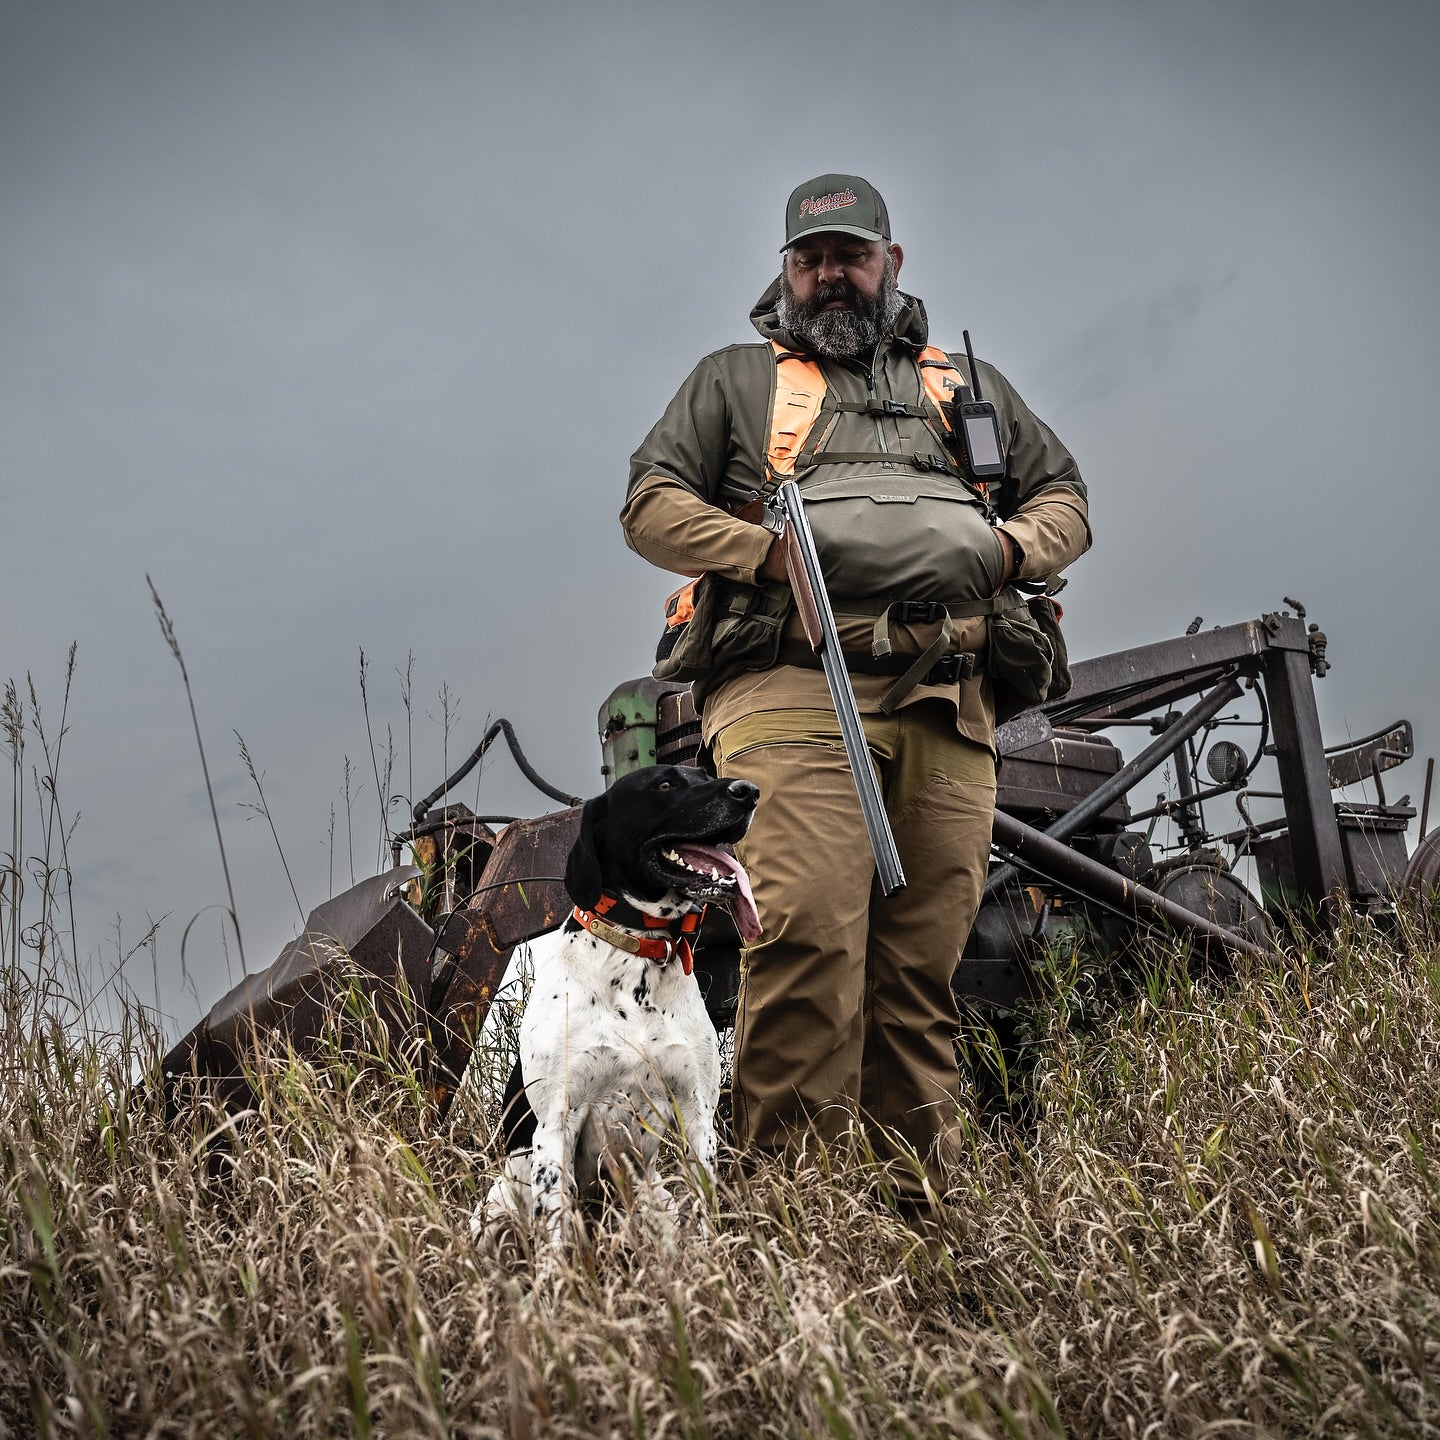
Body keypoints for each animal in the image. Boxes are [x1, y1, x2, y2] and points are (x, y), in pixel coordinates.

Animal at [472, 766, 766, 1249]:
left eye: (705, 773)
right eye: (664, 785)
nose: (750, 791)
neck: (638, 954)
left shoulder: (697, 1113)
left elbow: (703, 1212)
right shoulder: (557, 1120)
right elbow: (555, 1232)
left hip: (655, 1197)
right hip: (494, 1210)